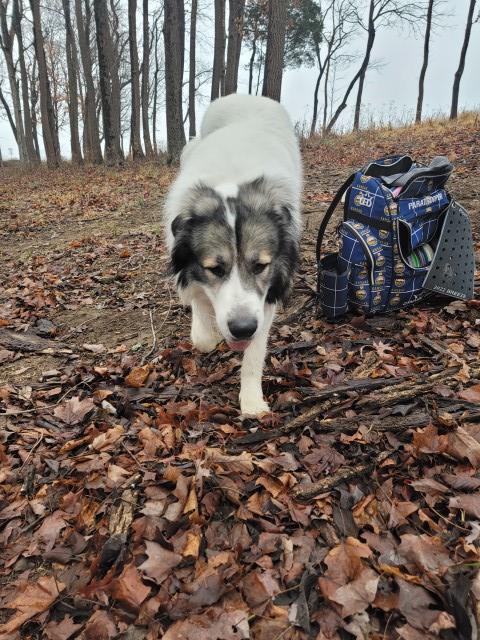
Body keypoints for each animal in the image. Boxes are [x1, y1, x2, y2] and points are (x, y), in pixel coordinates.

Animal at [163, 92, 302, 418]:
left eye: (261, 265)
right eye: (215, 269)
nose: (242, 329)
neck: (231, 184)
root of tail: (247, 96)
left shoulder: (265, 301)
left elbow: (255, 352)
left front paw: (251, 400)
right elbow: (201, 328)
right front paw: (210, 333)